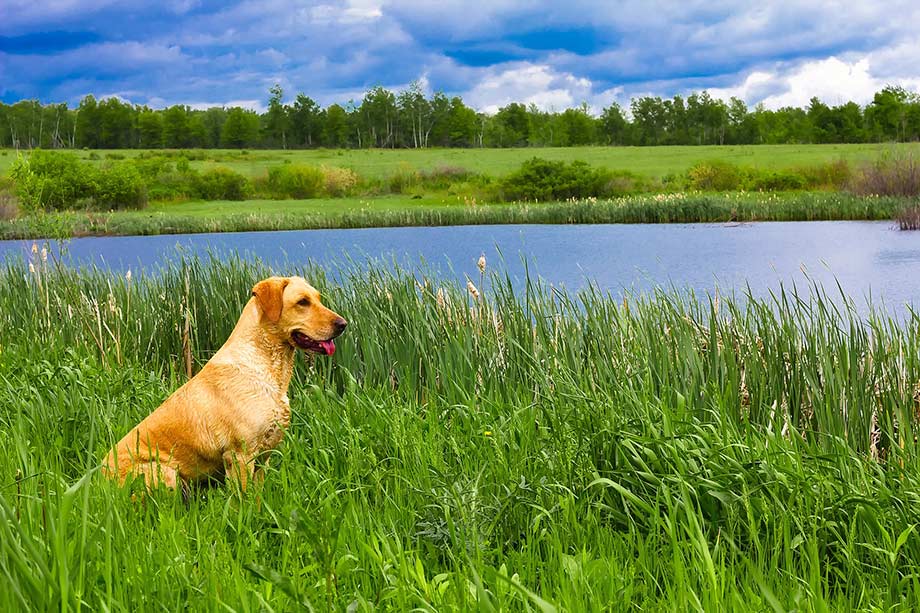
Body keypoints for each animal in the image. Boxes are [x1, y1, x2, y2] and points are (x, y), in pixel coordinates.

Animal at [104, 278, 346, 492]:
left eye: (318, 299)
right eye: (302, 302)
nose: (343, 324)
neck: (267, 367)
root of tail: (99, 479)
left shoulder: (263, 457)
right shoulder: (240, 455)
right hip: (164, 472)